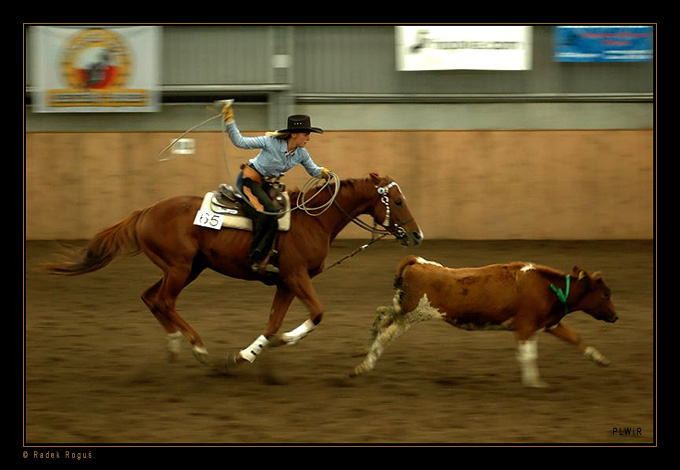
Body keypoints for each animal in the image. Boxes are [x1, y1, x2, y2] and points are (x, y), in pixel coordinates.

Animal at [42, 173, 420, 368]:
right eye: (398, 201)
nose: (416, 235)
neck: (313, 220)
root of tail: (146, 211)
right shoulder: (296, 276)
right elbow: (316, 313)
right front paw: (285, 341)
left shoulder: (285, 283)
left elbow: (272, 323)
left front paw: (246, 354)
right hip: (180, 267)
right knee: (164, 300)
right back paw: (195, 345)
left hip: (188, 268)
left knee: (150, 298)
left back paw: (175, 344)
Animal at [354, 255, 620, 388]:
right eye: (606, 294)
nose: (616, 316)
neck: (548, 287)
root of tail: (420, 263)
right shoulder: (525, 327)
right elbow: (528, 355)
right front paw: (534, 382)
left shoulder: (549, 324)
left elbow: (576, 338)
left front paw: (600, 359)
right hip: (412, 314)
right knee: (386, 334)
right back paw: (363, 366)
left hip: (404, 308)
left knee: (382, 313)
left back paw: (364, 348)